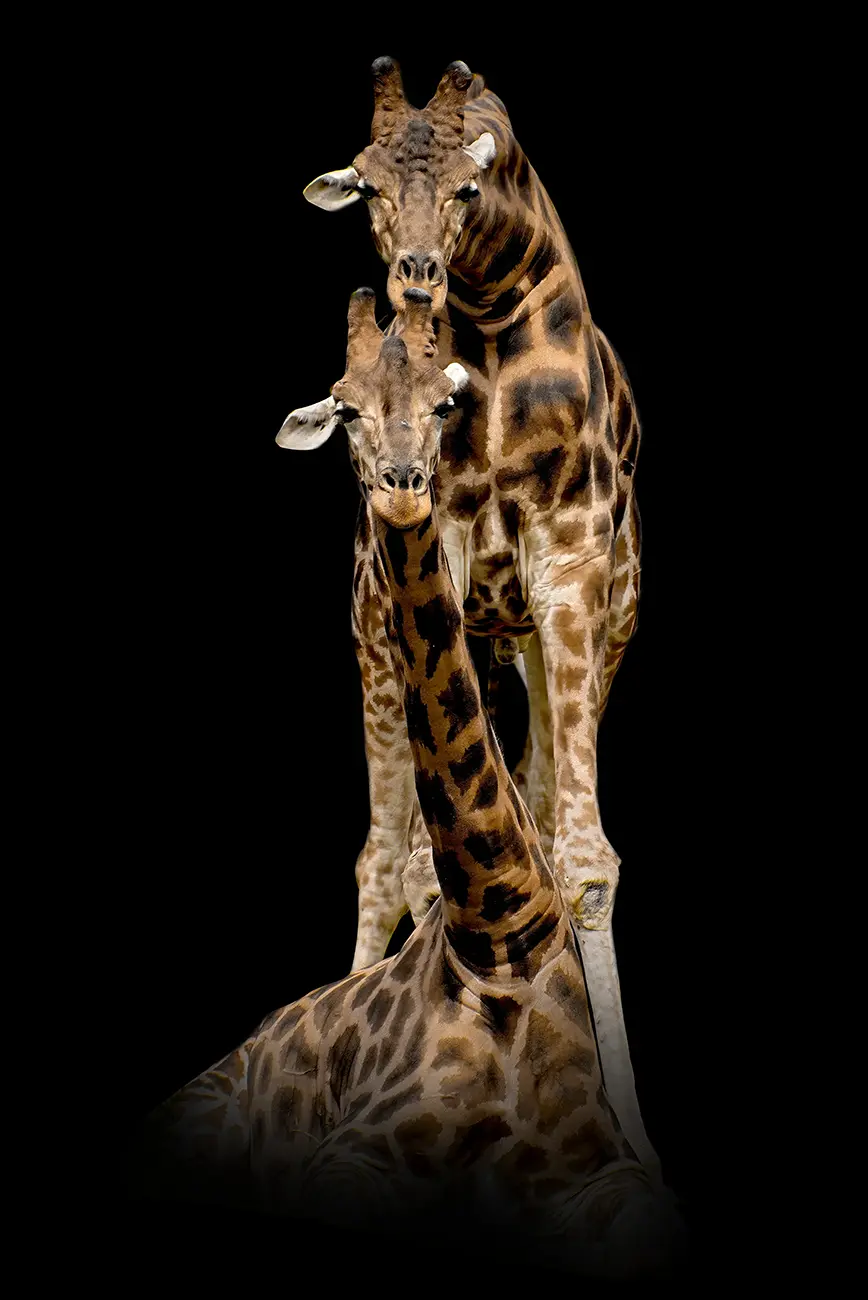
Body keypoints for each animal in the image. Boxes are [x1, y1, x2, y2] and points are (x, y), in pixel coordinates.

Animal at [294, 58, 652, 1176]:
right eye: (365, 186)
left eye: (467, 187)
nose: (414, 279)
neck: (492, 331)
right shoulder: (443, 544)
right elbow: (416, 854)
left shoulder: (572, 565)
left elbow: (583, 857)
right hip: (374, 642)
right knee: (381, 857)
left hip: (555, 641)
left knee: (530, 807)